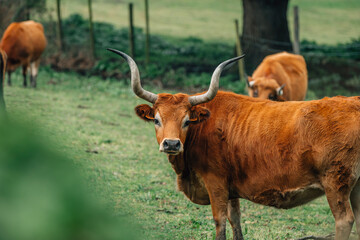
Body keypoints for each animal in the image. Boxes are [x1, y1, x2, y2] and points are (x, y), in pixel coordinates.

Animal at [108, 48, 360, 240]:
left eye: (187, 120)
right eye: (157, 120)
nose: (171, 144)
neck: (204, 125)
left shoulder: (216, 183)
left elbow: (220, 221)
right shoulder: (232, 189)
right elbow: (235, 220)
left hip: (336, 182)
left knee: (344, 220)